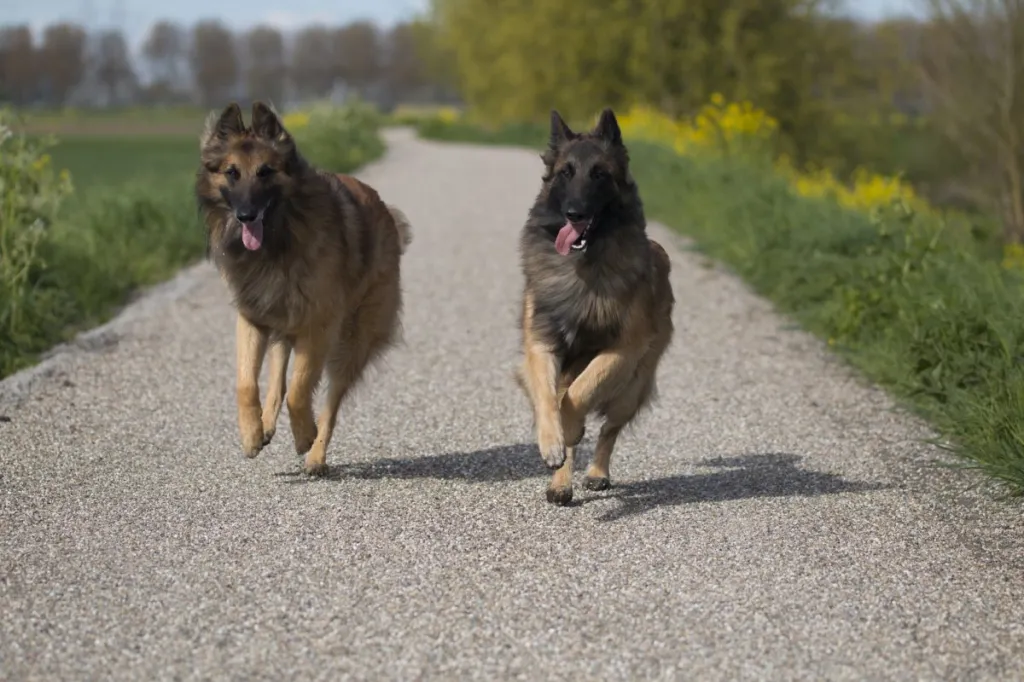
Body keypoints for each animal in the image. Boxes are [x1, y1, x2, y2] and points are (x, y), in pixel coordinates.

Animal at [195, 100, 411, 475]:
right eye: (232, 172)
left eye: (265, 172)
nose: (246, 215)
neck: (279, 240)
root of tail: (386, 212)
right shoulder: (254, 317)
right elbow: (247, 383)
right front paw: (251, 434)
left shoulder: (318, 325)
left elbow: (300, 391)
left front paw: (304, 436)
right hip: (285, 319)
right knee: (278, 374)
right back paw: (266, 424)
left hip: (352, 342)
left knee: (330, 401)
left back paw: (316, 456)